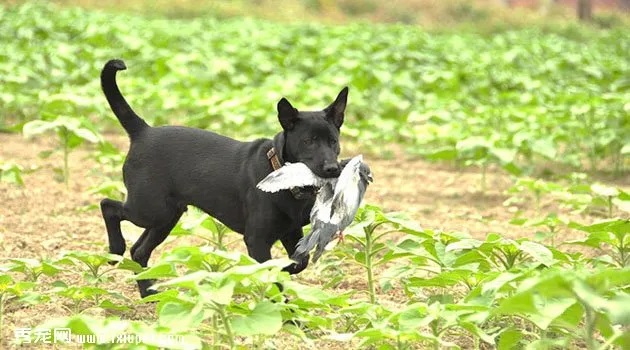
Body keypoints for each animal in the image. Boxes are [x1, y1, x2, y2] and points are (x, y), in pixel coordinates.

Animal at [99, 59, 350, 296]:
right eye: (308, 142)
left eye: (333, 141)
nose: (332, 168)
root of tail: (143, 131)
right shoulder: (257, 239)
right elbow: (271, 274)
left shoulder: (291, 231)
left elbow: (299, 262)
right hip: (151, 209)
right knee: (108, 205)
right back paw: (115, 250)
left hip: (167, 216)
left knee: (139, 251)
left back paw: (149, 293)